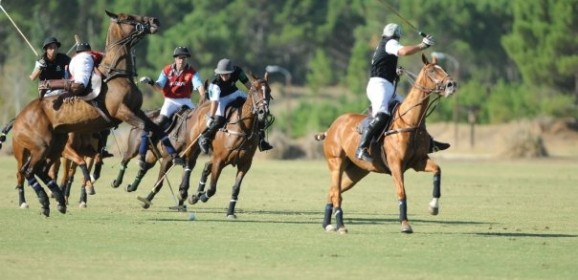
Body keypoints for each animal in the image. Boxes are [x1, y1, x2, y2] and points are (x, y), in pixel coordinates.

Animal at [7, 10, 165, 217]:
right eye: (129, 18)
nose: (155, 20)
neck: (118, 73)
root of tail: (19, 117)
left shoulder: (136, 110)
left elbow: (157, 130)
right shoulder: (122, 112)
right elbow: (146, 128)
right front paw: (137, 166)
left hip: (55, 144)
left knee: (40, 171)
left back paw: (58, 200)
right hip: (39, 146)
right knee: (27, 171)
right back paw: (44, 201)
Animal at [187, 72, 272, 219]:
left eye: (269, 91)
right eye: (254, 90)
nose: (263, 112)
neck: (244, 129)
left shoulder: (245, 164)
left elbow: (236, 188)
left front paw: (230, 212)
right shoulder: (220, 160)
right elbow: (212, 188)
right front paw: (204, 197)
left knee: (206, 167)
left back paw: (196, 195)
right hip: (198, 148)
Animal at [312, 53, 456, 233]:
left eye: (443, 69)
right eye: (431, 71)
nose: (452, 85)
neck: (410, 122)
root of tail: (332, 127)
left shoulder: (419, 161)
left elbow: (437, 171)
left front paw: (433, 207)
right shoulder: (396, 165)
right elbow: (401, 192)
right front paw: (405, 224)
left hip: (356, 172)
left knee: (332, 191)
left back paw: (327, 224)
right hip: (336, 163)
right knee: (336, 193)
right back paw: (341, 226)